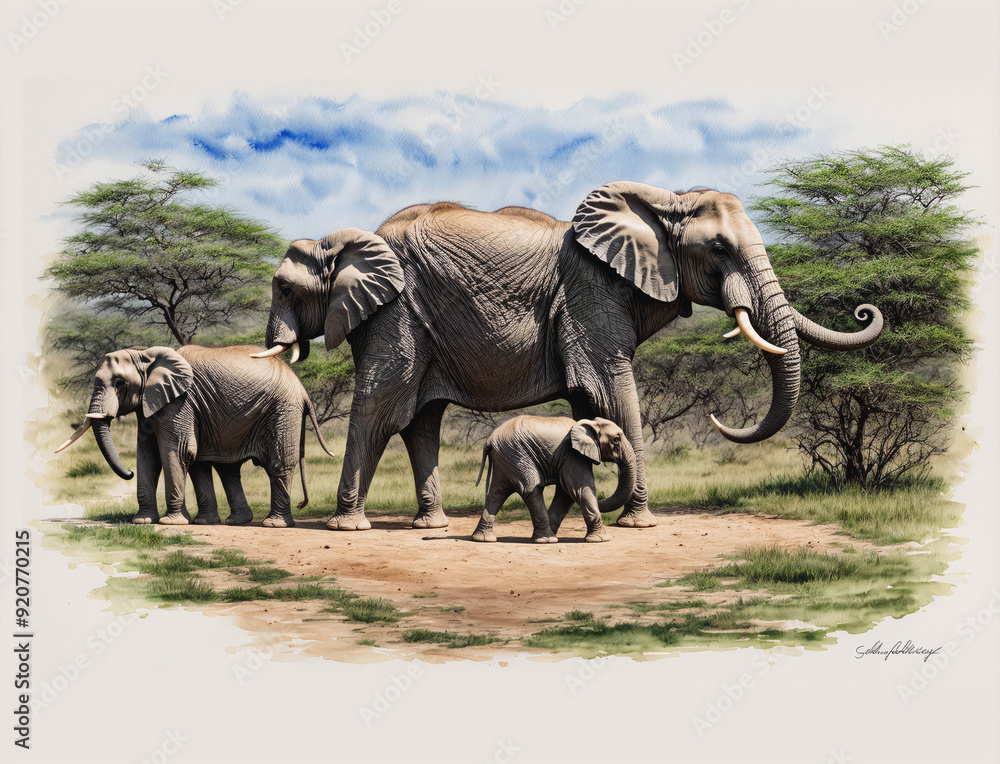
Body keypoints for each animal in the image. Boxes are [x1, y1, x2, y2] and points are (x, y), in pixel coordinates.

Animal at [55, 345, 336, 527]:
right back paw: (229, 522)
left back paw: (273, 524)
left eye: (120, 383)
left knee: (278, 465)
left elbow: (177, 450)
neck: (145, 354)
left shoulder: (179, 402)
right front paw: (143, 521)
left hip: (283, 410)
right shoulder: (152, 404)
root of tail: (302, 389)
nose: (128, 473)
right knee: (225, 468)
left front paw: (171, 523)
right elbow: (149, 455)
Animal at [472, 416, 636, 543]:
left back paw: (484, 538)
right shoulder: (573, 454)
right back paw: (547, 539)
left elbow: (566, 494)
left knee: (496, 493)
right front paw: (602, 539)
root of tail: (489, 440)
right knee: (531, 489)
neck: (590, 423)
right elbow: (580, 489)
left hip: (506, 458)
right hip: (517, 456)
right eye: (616, 440)